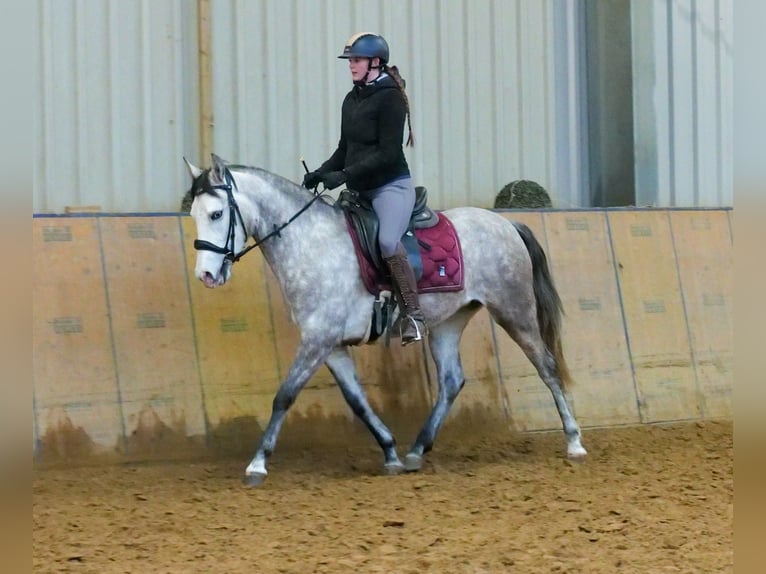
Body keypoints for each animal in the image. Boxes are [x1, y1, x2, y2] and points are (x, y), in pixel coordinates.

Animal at [184, 155, 588, 488]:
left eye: (216, 214)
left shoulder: (317, 339)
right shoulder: (331, 346)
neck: (310, 244)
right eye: (194, 216)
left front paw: (257, 464)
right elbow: (357, 401)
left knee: (547, 367)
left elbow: (285, 396)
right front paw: (391, 452)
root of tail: (506, 222)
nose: (206, 275)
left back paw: (574, 442)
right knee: (451, 381)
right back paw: (416, 450)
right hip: (448, 322)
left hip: (514, 312)